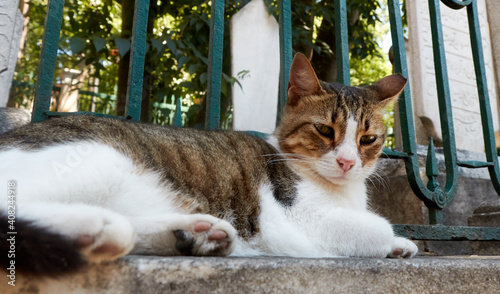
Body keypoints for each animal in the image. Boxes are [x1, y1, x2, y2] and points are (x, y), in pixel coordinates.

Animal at [0, 53, 418, 278]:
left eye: (368, 139)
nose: (347, 162)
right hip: (100, 158)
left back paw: (191, 233)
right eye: (324, 130)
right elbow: (378, 227)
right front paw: (394, 240)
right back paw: (96, 228)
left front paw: (400, 246)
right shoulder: (299, 218)